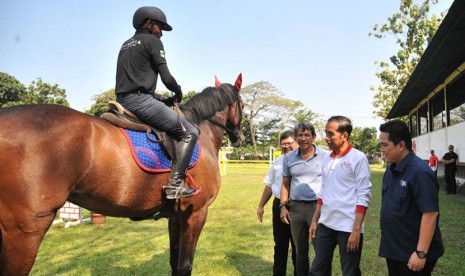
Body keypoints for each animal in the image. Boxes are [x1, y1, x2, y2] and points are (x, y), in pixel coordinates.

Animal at [0, 74, 245, 276]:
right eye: (242, 104)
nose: (240, 138)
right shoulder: (196, 214)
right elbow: (185, 266)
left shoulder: (176, 216)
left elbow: (174, 263)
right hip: (25, 230)